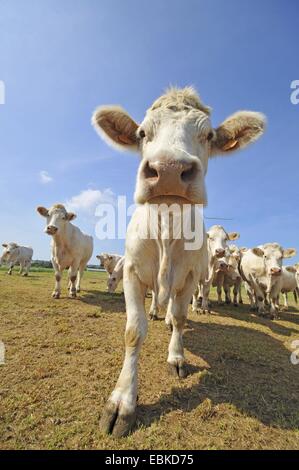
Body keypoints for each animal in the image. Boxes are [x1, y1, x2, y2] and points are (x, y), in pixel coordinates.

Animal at [92, 85, 266, 436]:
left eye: (208, 135)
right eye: (142, 133)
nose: (169, 170)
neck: (167, 233)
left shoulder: (189, 278)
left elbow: (183, 317)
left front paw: (176, 356)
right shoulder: (131, 273)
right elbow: (134, 331)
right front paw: (122, 401)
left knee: (174, 310)